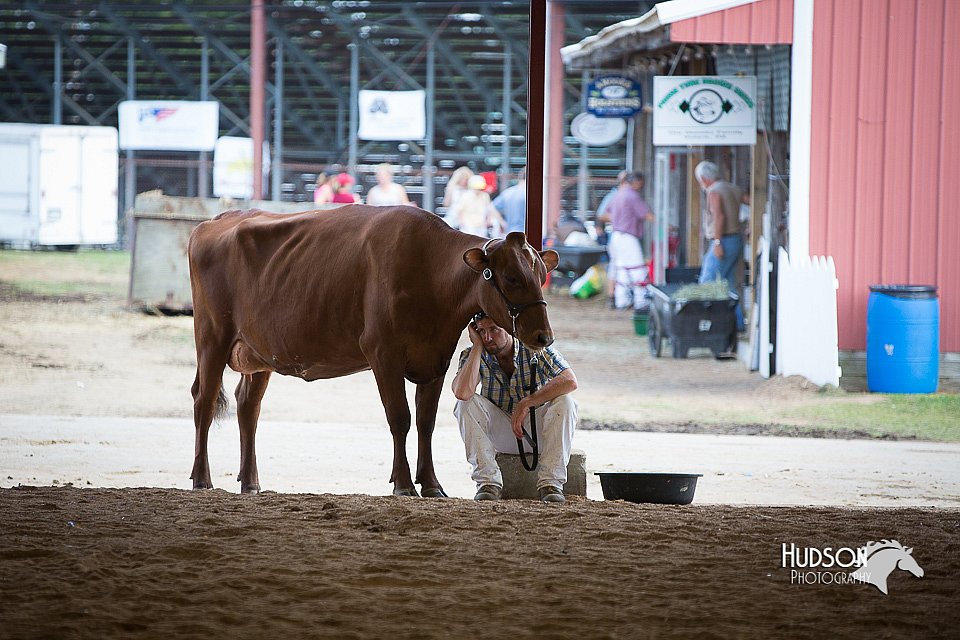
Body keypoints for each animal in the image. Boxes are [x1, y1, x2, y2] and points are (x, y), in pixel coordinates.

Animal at [188, 204, 560, 496]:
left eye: (542, 272)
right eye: (511, 277)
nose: (543, 336)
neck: (429, 270)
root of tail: (215, 221)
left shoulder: (436, 358)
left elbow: (425, 422)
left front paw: (432, 484)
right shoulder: (383, 353)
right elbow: (400, 418)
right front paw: (404, 484)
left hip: (260, 352)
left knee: (248, 406)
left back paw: (251, 482)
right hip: (212, 336)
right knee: (204, 401)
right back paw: (202, 479)